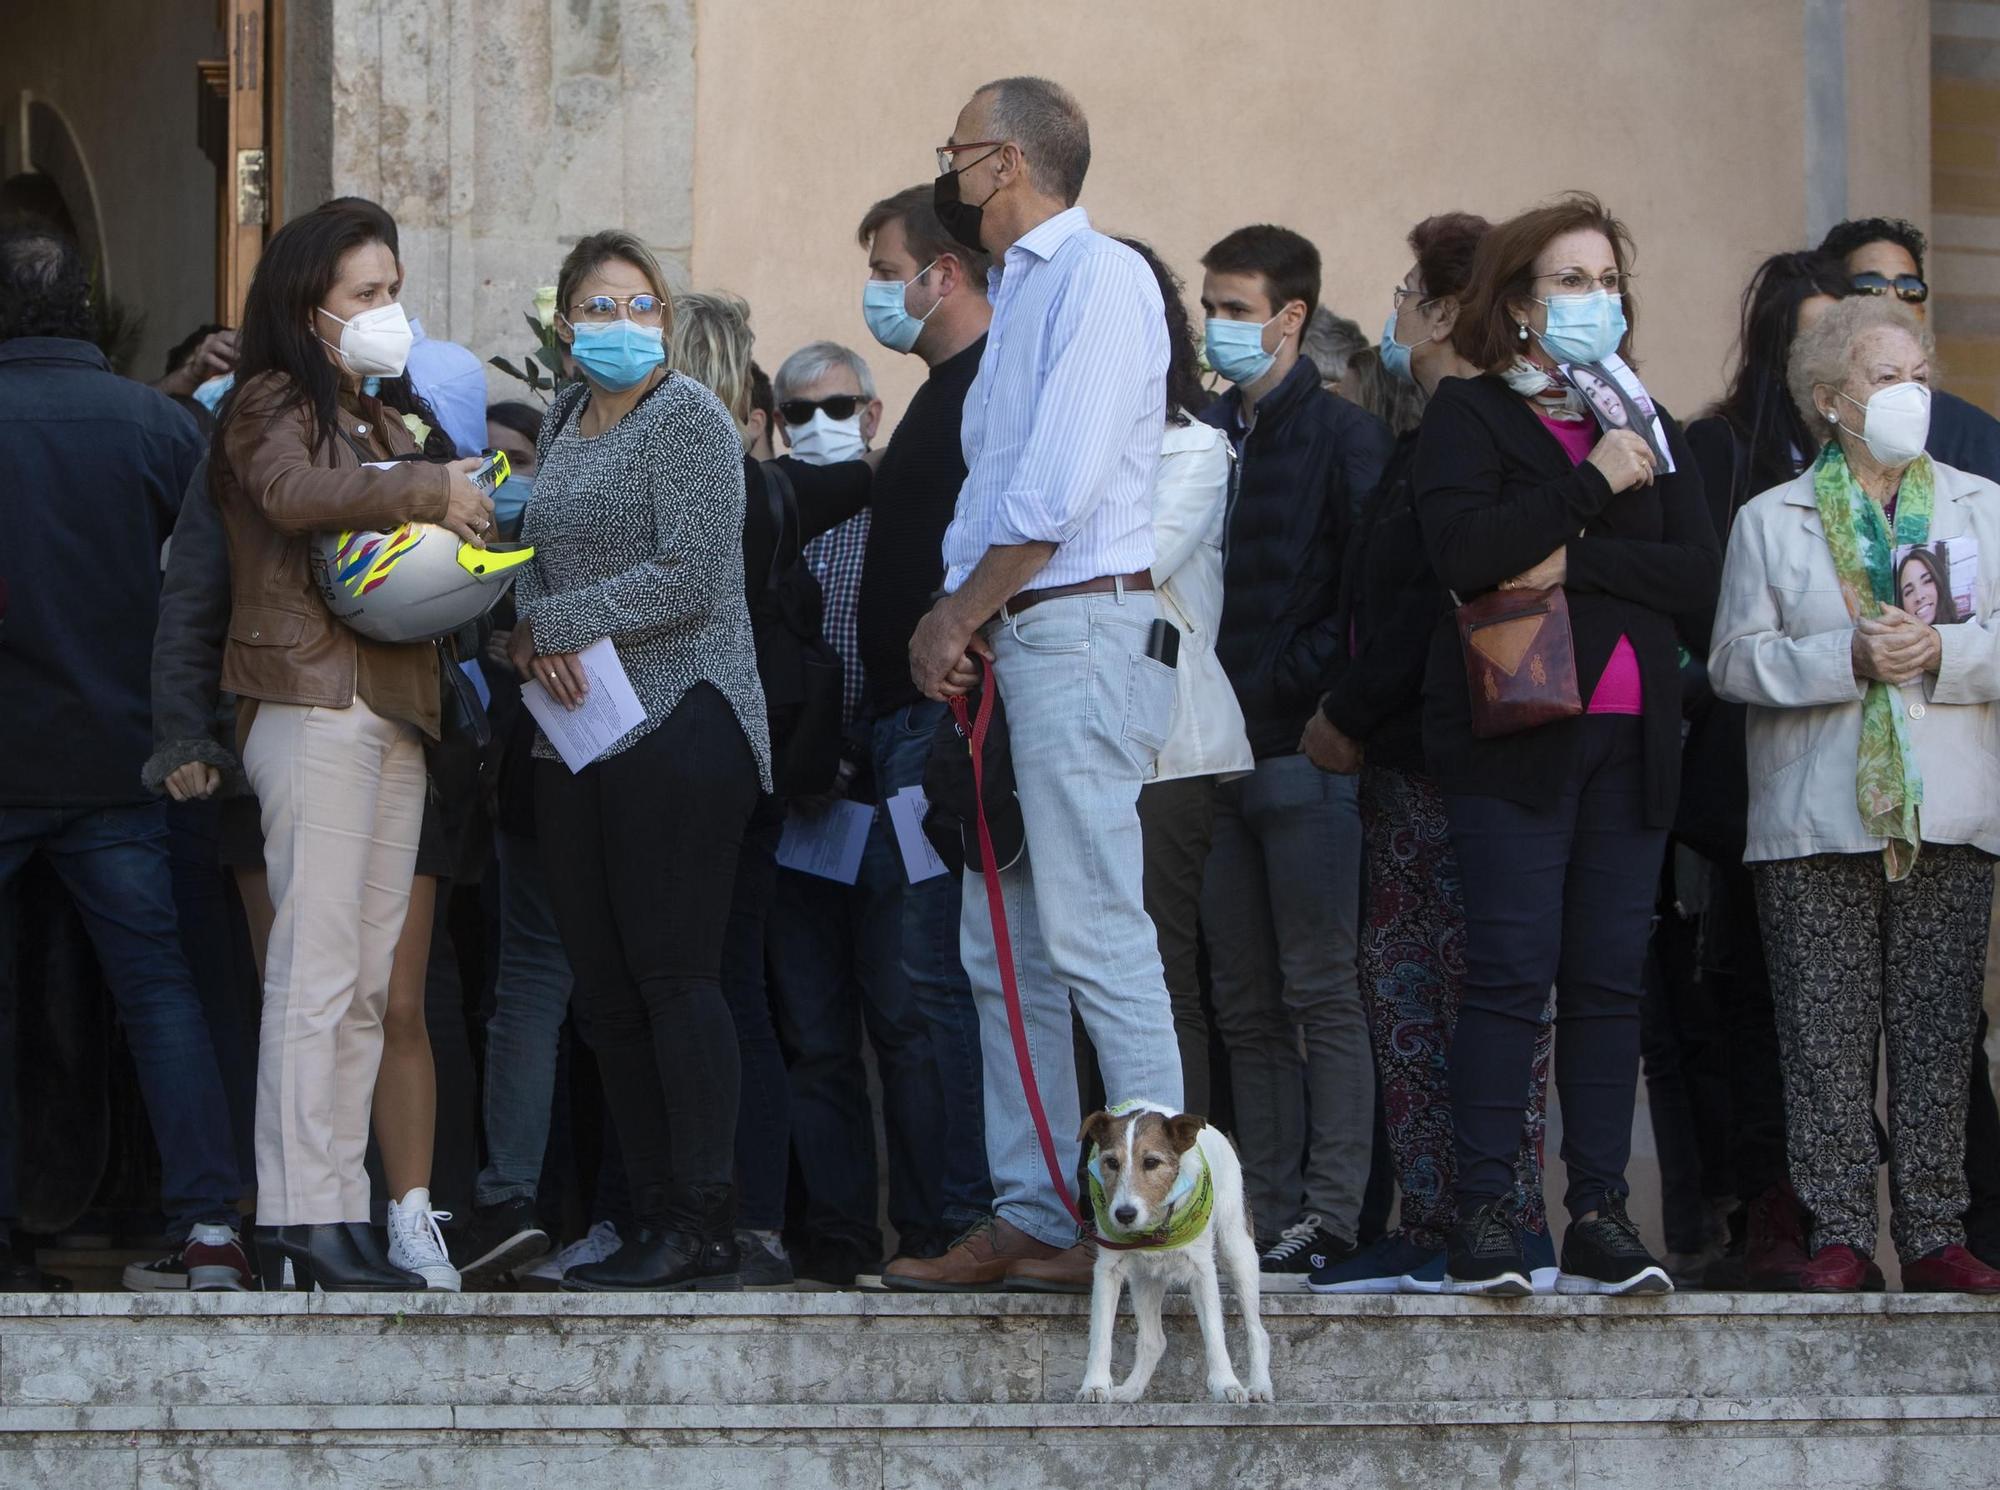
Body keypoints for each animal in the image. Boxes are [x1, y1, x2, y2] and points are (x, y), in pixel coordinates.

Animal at [1072, 1096, 1272, 1400]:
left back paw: (1260, 1385)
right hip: (1145, 1280)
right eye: (1111, 1162)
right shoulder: (1107, 1269)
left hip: (1238, 1252)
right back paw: (1130, 1391)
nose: (1124, 1214)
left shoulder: (1203, 1271)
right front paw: (1094, 1384)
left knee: (1257, 1330)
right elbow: (1100, 1335)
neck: (1154, 1224)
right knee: (1154, 1341)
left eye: (1151, 1162)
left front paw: (1226, 1384)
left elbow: (1215, 1333)